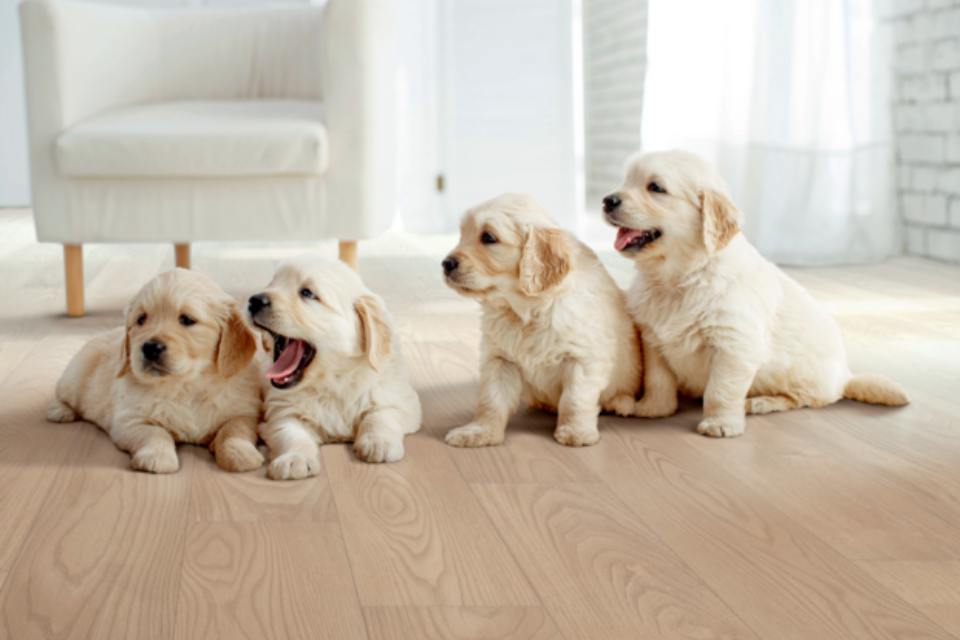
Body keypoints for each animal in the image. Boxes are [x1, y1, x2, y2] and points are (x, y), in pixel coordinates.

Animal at [45, 268, 262, 472]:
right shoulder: (130, 420)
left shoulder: (244, 412)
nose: (150, 348)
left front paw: (240, 454)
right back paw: (60, 410)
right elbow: (156, 433)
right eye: (141, 319)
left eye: (187, 320)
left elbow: (234, 430)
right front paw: (156, 458)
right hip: (76, 375)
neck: (185, 386)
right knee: (62, 393)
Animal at [248, 258, 420, 478]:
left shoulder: (401, 399)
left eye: (307, 293)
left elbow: (381, 414)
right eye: (271, 284)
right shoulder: (281, 411)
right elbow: (290, 434)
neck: (333, 381)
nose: (254, 300)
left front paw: (378, 442)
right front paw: (295, 459)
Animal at [440, 192, 676, 448]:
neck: (525, 310)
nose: (446, 264)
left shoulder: (582, 358)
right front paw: (480, 432)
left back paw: (619, 402)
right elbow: (491, 400)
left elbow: (574, 398)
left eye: (488, 237)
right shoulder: (499, 359)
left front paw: (575, 432)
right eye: (462, 235)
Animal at [604, 151, 912, 440]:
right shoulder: (653, 338)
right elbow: (658, 380)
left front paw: (721, 423)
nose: (608, 200)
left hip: (801, 377)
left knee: (805, 398)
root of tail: (845, 377)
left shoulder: (734, 344)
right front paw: (653, 409)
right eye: (626, 181)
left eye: (655, 187)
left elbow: (720, 390)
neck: (679, 276)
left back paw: (761, 403)